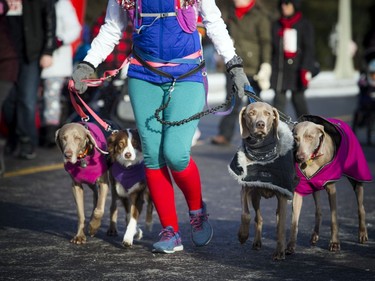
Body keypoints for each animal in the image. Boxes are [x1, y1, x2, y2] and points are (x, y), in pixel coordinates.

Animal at [229, 101, 300, 260]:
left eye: (268, 113)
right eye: (251, 113)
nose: (260, 124)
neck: (262, 155)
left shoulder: (283, 194)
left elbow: (282, 227)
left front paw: (279, 252)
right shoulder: (246, 187)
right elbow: (246, 214)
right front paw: (242, 235)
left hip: (294, 198)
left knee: (292, 222)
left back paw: (290, 246)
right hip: (256, 196)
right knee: (259, 217)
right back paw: (257, 242)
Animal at [288, 116, 374, 254]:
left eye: (310, 137)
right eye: (296, 138)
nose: (299, 158)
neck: (313, 159)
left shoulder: (331, 189)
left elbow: (334, 218)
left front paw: (334, 243)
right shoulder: (299, 190)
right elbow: (294, 221)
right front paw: (290, 245)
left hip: (357, 176)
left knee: (361, 207)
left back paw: (362, 233)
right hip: (315, 187)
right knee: (318, 211)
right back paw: (315, 235)